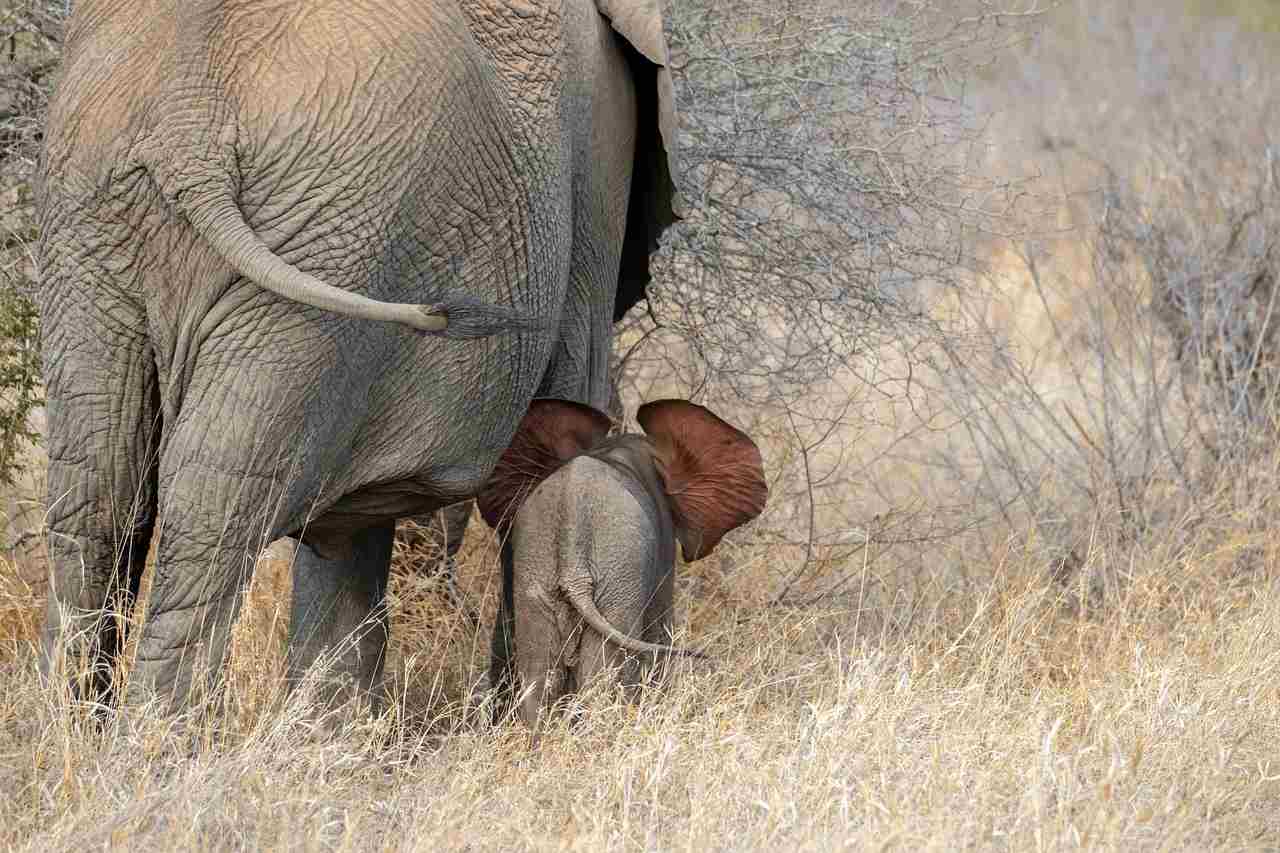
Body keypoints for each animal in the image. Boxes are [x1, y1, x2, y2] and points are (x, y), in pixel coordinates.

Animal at [36, 0, 678, 711]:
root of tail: (189, 124)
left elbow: (346, 527)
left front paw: (328, 724)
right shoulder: (600, 150)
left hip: (106, 219)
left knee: (99, 491)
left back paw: (83, 729)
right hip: (334, 237)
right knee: (211, 513)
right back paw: (156, 733)